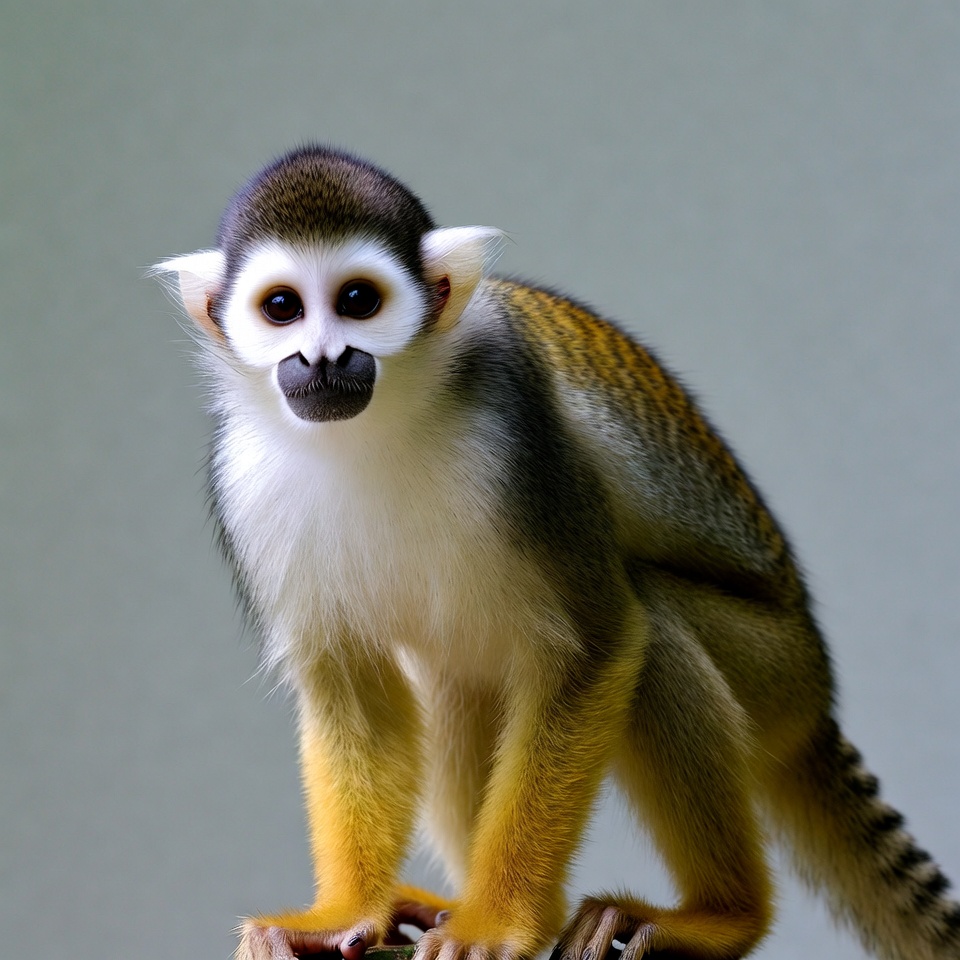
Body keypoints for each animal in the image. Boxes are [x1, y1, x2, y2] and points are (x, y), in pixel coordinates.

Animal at [155, 145, 960, 960]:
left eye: (356, 300)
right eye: (282, 308)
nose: (323, 357)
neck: (377, 422)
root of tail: (817, 704)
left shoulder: (524, 433)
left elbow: (598, 644)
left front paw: (498, 923)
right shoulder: (242, 478)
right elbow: (350, 684)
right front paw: (346, 912)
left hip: (777, 674)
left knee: (654, 627)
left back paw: (722, 916)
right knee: (454, 675)